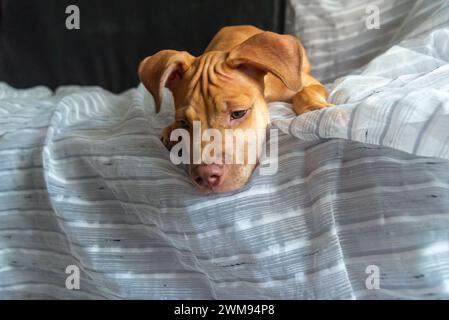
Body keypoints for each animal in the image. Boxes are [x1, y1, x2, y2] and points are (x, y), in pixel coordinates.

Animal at [139, 25, 328, 192]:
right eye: (183, 123)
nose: (206, 176)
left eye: (238, 113)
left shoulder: (309, 83)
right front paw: (172, 129)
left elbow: (302, 93)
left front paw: (317, 108)